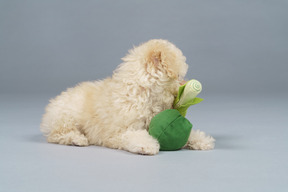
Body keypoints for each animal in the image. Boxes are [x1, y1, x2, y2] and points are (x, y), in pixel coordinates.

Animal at [40, 39, 214, 154]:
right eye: (178, 76)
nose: (186, 83)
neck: (144, 93)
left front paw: (201, 139)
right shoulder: (118, 132)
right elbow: (133, 136)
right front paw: (147, 145)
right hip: (66, 116)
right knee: (57, 134)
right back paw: (77, 139)